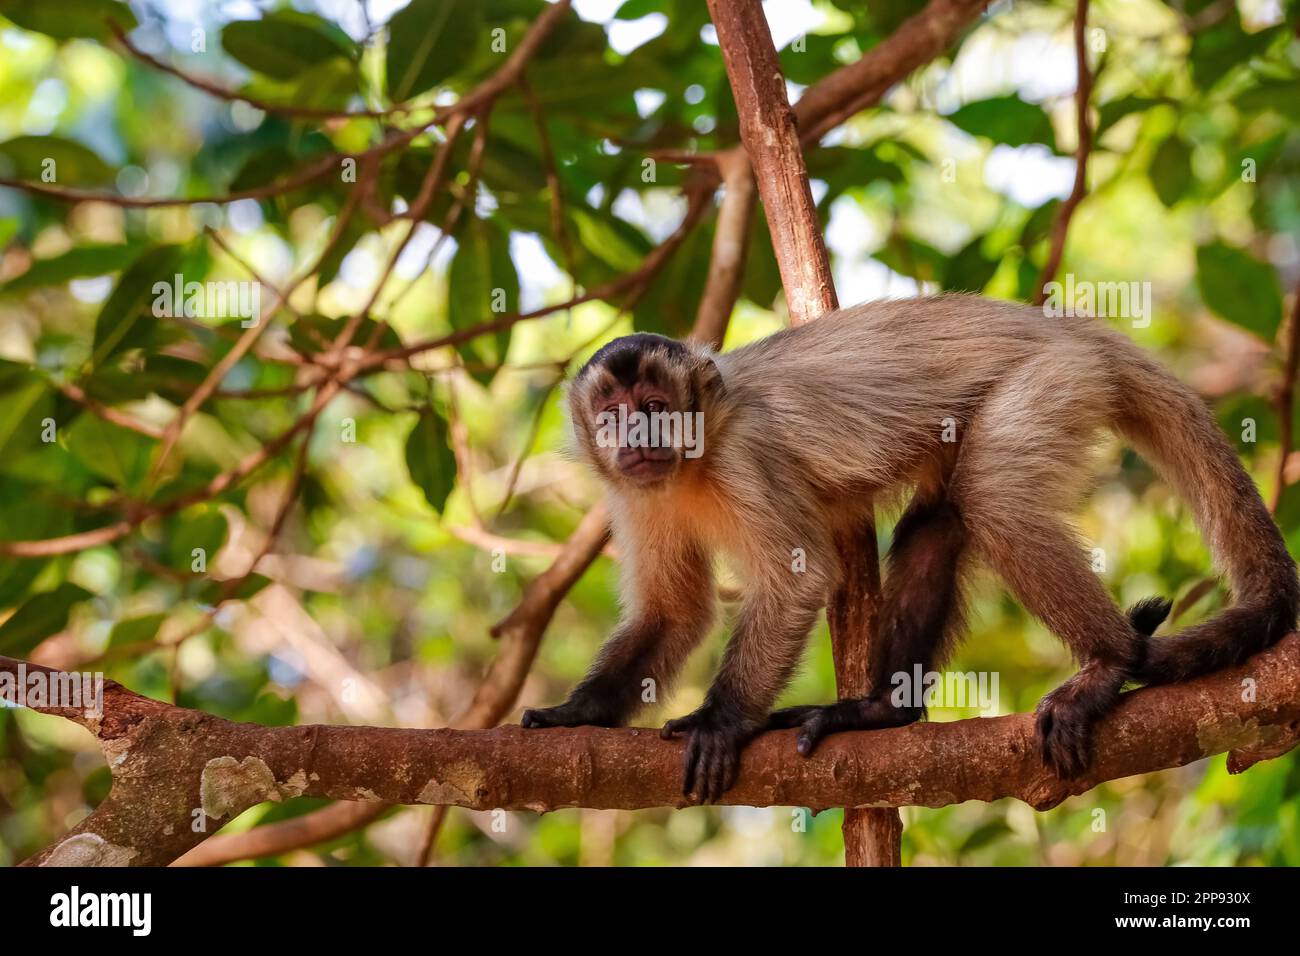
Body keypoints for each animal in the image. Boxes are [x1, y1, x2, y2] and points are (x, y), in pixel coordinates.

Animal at [517, 295, 1300, 806]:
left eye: (656, 410)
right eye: (615, 417)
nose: (637, 438)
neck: (693, 463)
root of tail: (1065, 326)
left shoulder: (744, 453)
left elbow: (801, 578)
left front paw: (721, 720)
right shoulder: (631, 493)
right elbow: (675, 613)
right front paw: (578, 714)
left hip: (1055, 377)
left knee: (996, 501)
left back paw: (1108, 663)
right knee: (940, 520)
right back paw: (881, 712)